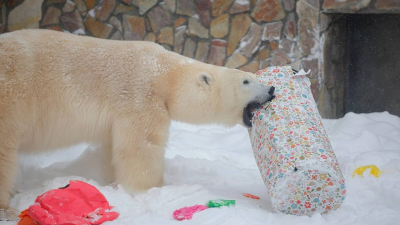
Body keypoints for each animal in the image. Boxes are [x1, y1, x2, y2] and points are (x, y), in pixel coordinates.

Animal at [0, 29, 276, 214]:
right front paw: (148, 190)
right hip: (12, 98)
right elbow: (141, 145)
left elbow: (112, 148)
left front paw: (111, 183)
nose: (272, 89)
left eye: (254, 77)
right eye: (246, 81)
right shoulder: (140, 96)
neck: (166, 74)